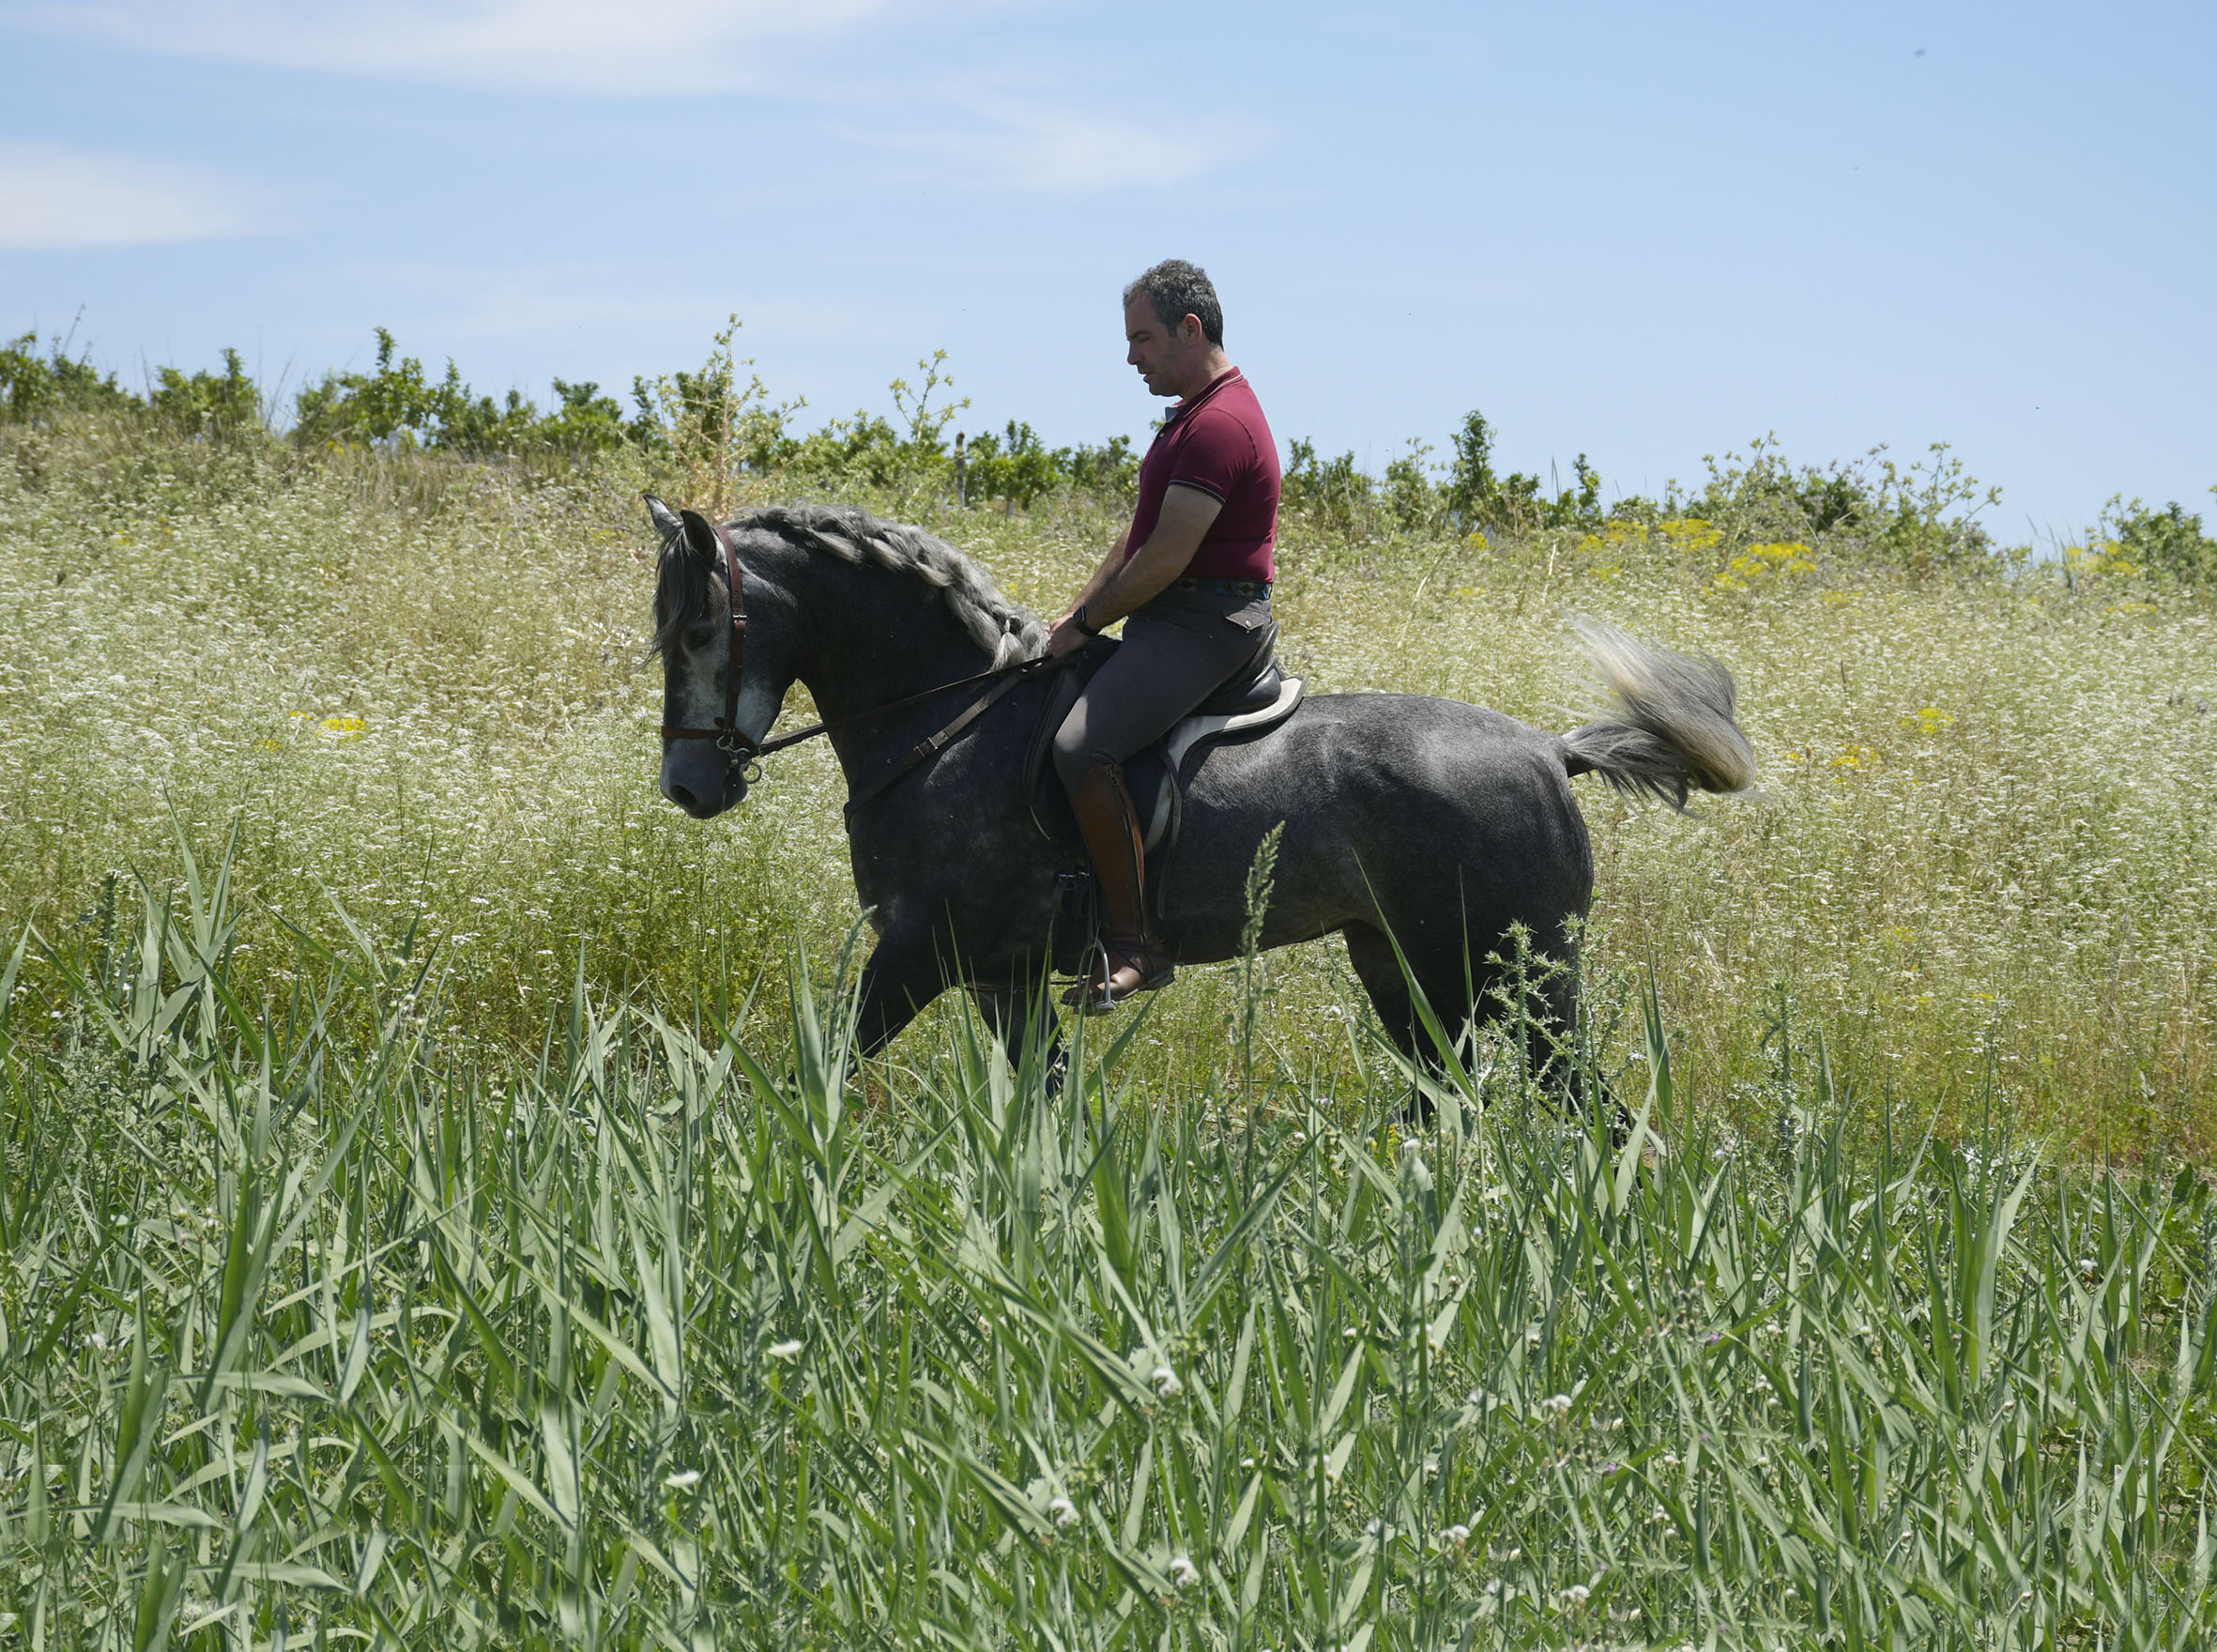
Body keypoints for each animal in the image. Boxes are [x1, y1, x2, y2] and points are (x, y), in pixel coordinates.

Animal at [647, 505, 1755, 1081]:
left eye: (699, 629)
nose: (688, 788)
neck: (946, 717)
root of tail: (1547, 751)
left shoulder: (917, 953)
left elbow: (823, 1074)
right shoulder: (1003, 978)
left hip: (1524, 975)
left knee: (1590, 1108)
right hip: (1404, 965)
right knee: (1444, 1094)